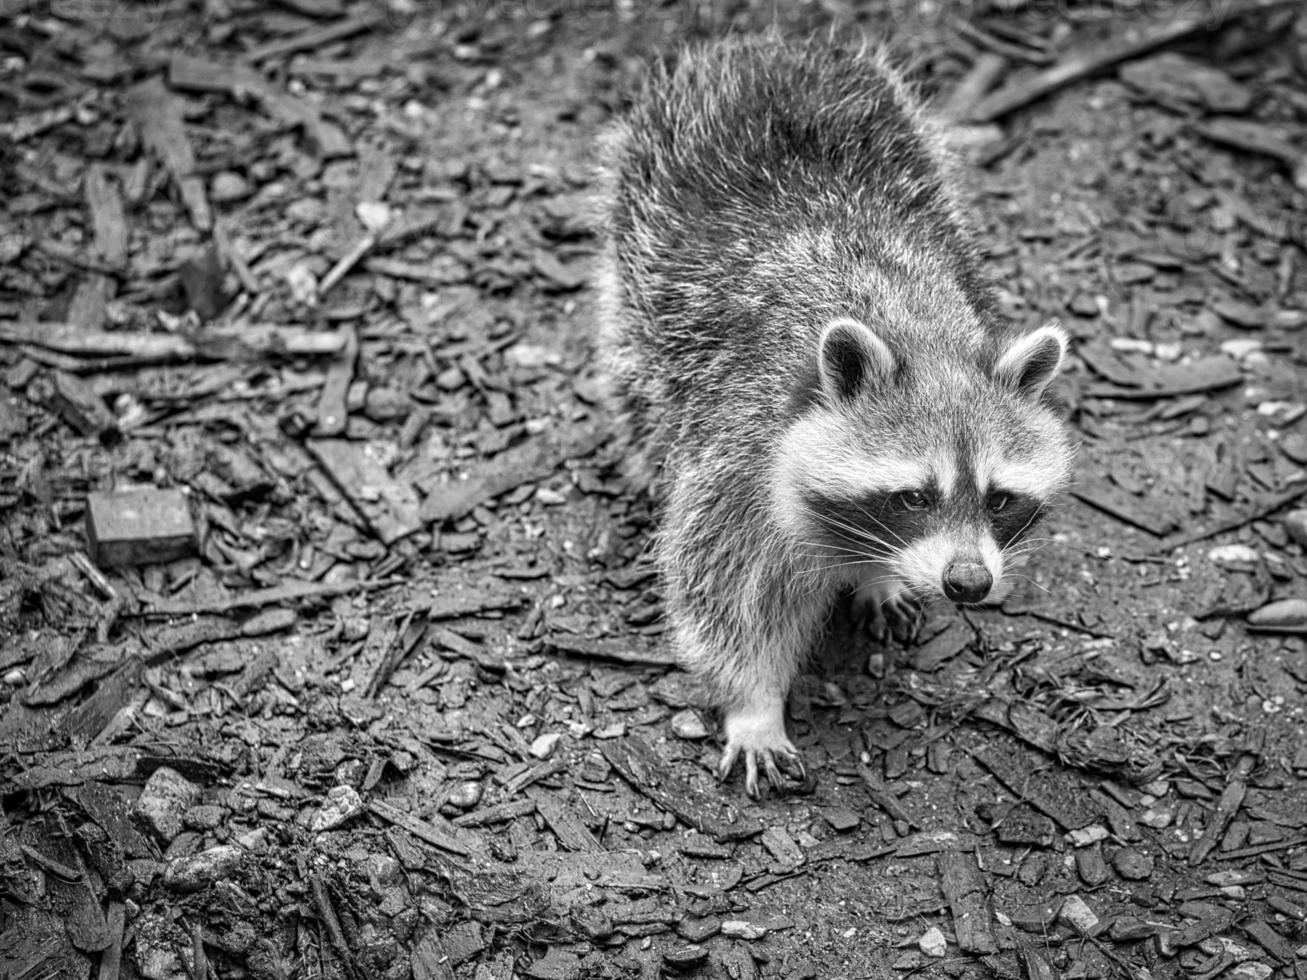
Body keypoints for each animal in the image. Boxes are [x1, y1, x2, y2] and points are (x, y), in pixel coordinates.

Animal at [593, 36, 1071, 799]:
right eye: (913, 497)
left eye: (999, 498)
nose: (967, 584)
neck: (917, 333)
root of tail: (768, 43)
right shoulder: (738, 465)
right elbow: (725, 603)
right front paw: (754, 706)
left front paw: (879, 575)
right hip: (639, 222)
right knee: (634, 372)